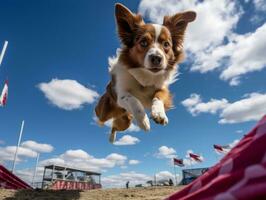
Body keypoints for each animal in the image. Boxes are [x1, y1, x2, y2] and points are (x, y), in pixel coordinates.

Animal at [95, 3, 195, 142]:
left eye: (166, 44)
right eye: (143, 42)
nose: (156, 58)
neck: (146, 76)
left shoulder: (163, 89)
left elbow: (158, 96)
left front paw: (159, 113)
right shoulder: (120, 93)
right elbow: (132, 99)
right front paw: (143, 120)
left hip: (125, 121)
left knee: (114, 126)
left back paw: (111, 138)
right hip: (105, 111)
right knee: (101, 118)